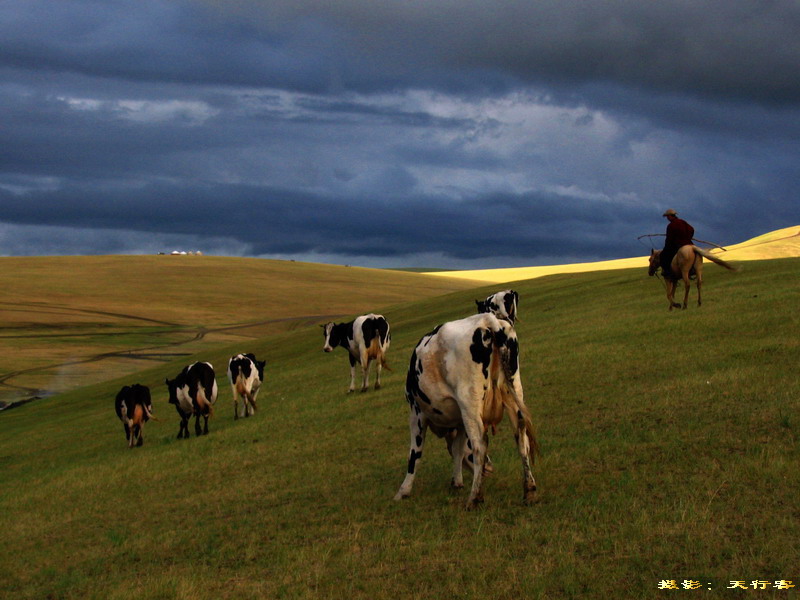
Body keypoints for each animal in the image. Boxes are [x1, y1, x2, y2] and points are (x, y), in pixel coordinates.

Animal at [394, 312, 536, 508]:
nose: (490, 468)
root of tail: (486, 319)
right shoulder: (460, 420)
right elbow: (458, 449)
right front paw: (457, 482)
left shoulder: (417, 413)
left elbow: (415, 453)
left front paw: (403, 490)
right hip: (514, 390)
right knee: (521, 437)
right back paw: (529, 490)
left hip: (469, 401)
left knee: (480, 444)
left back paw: (474, 498)